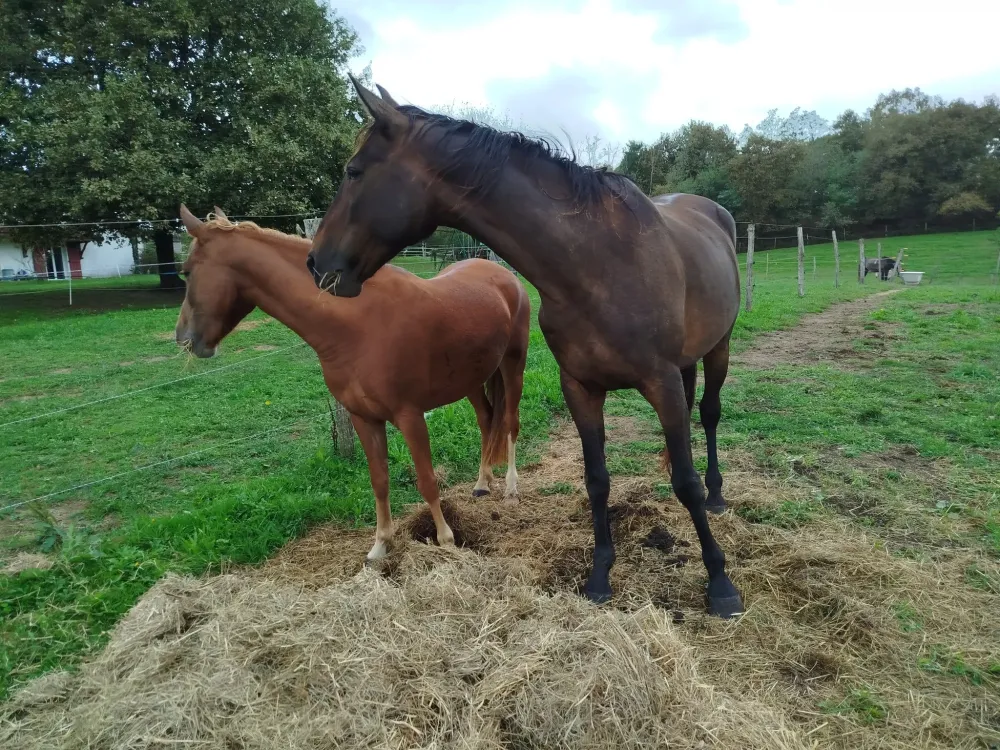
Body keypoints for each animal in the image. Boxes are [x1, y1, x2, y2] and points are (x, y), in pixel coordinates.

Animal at [174, 205, 531, 562]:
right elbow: (379, 480)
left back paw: (511, 490)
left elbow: (427, 480)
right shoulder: (364, 417)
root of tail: (506, 277)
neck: (356, 326)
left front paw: (445, 540)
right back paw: (482, 483)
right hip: (472, 380)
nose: (183, 338)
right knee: (487, 420)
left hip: (513, 367)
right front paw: (380, 546)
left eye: (186, 272)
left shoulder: (410, 416)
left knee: (510, 423)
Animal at [305, 79, 746, 618]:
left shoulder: (658, 381)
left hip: (718, 349)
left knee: (709, 413)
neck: (597, 265)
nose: (316, 263)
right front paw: (599, 577)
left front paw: (720, 583)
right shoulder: (580, 387)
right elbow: (597, 480)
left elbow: (686, 481)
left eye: (354, 171)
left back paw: (717, 495)